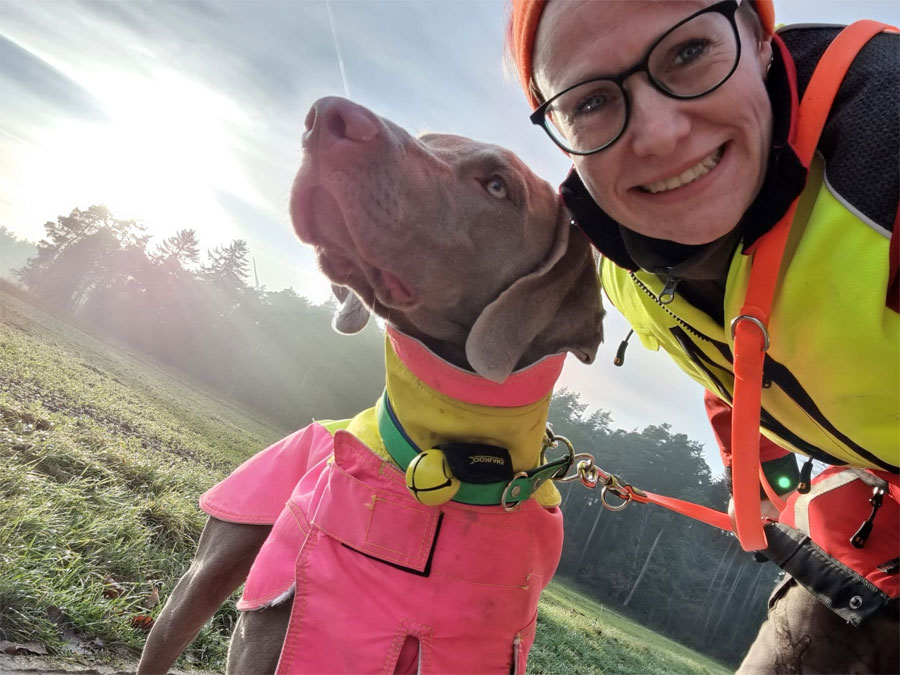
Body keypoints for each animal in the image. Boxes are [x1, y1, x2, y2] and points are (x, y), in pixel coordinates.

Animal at [135, 96, 604, 675]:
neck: (452, 471)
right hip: (207, 571)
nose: (328, 115)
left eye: (498, 186)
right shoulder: (282, 634)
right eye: (429, 140)